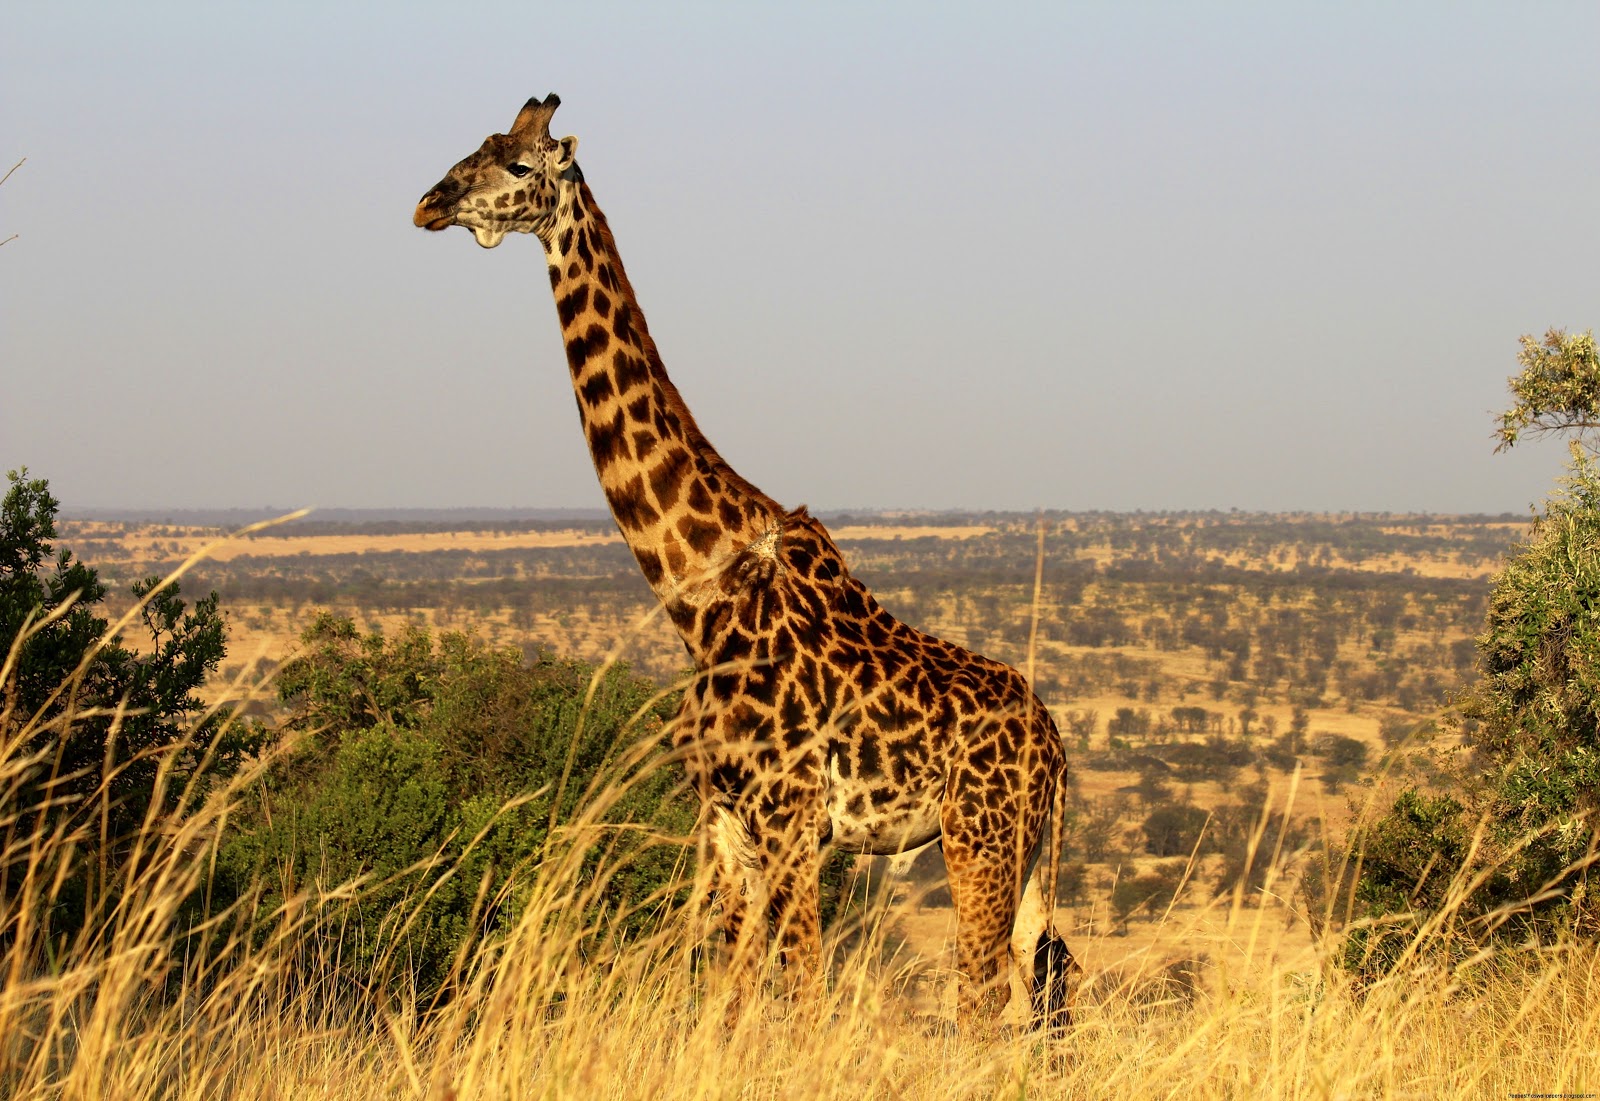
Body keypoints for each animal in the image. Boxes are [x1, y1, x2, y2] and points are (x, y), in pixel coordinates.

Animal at [413, 94, 1080, 1032]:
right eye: (475, 146)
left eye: (517, 165)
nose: (430, 203)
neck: (695, 591)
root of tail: (1058, 748)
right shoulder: (724, 817)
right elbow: (728, 993)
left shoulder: (791, 816)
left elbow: (799, 992)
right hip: (1022, 853)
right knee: (1041, 984)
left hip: (977, 837)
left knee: (983, 1002)